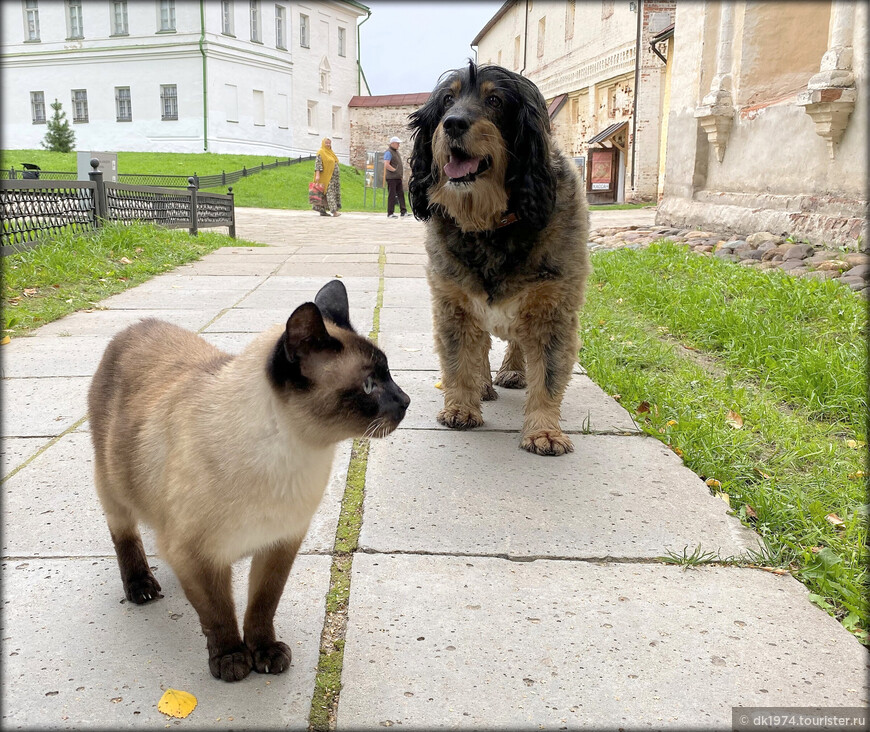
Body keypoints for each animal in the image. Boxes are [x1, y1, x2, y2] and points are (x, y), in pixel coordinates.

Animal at [88, 280, 412, 680]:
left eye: (390, 376)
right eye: (369, 385)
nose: (406, 401)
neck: (291, 458)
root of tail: (136, 325)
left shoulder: (279, 545)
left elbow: (261, 606)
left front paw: (265, 653)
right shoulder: (200, 556)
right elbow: (218, 614)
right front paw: (231, 659)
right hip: (113, 487)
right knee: (124, 533)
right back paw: (141, 587)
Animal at [410, 63, 592, 454]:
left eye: (495, 100)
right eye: (447, 100)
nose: (453, 123)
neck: (488, 225)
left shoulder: (553, 310)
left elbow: (548, 375)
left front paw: (543, 430)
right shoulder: (454, 305)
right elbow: (459, 362)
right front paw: (461, 407)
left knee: (517, 343)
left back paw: (512, 370)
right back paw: (483, 384)